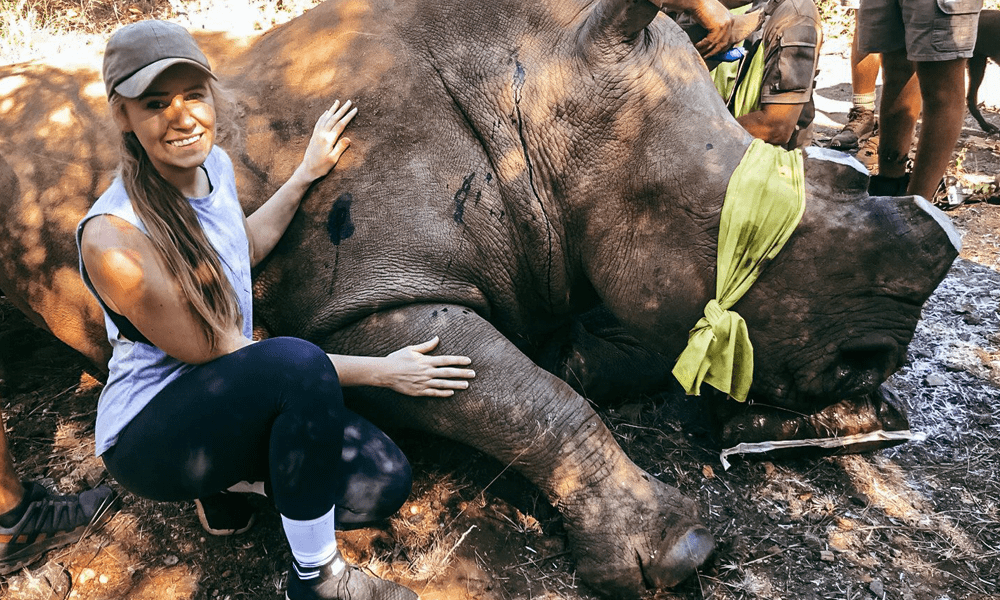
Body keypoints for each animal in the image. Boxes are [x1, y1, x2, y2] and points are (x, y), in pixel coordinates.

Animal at [0, 0, 959, 596]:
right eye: (724, 222)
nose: (870, 363)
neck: (539, 91)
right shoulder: (370, 302)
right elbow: (531, 399)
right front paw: (678, 552)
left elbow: (589, 361)